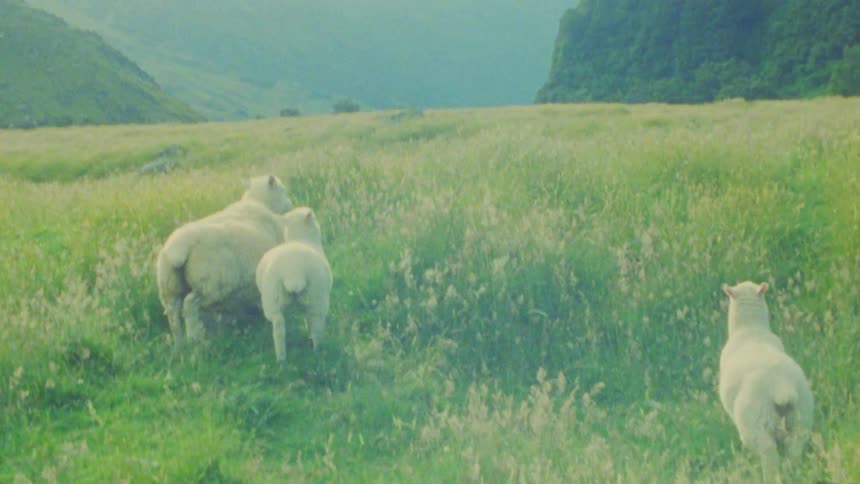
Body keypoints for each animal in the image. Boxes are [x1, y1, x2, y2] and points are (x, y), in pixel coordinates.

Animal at [156, 175, 294, 346]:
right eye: (282, 190)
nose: (290, 205)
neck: (259, 203)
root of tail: (179, 247)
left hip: (169, 286)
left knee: (173, 313)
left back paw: (180, 343)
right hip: (208, 285)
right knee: (190, 304)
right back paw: (194, 339)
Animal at [256, 207, 332, 362]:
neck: (302, 238)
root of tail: (293, 270)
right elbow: (308, 321)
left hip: (273, 297)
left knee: (278, 326)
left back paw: (281, 358)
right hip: (318, 295)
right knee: (316, 324)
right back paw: (316, 351)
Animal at [719, 281, 814, 482]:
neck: (750, 329)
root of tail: (782, 386)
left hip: (754, 419)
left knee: (768, 451)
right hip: (802, 411)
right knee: (795, 443)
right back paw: (792, 469)